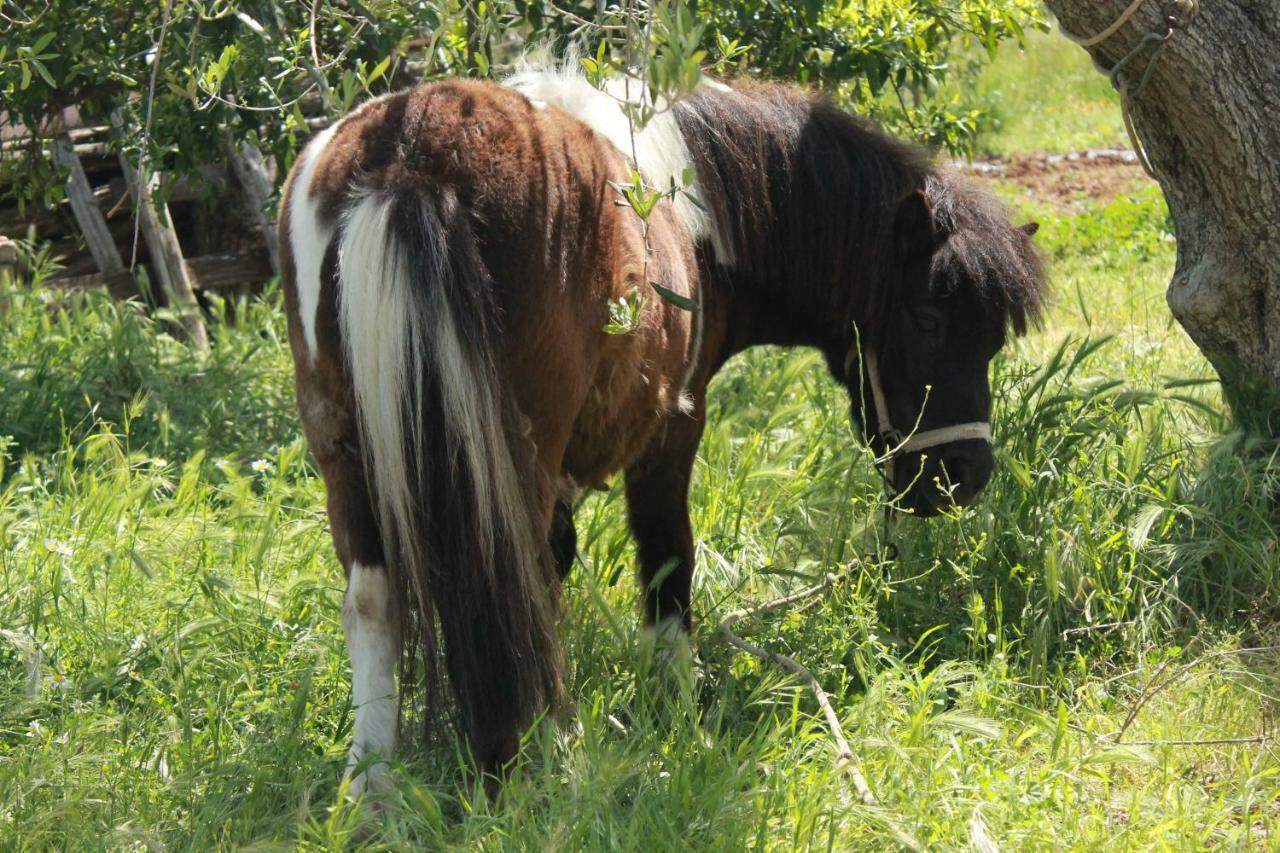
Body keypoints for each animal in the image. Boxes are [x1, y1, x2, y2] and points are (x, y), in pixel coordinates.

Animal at [275, 66, 1044, 788]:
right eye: (930, 320)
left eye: (994, 340)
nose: (965, 475)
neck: (696, 205)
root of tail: (413, 153)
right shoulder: (672, 429)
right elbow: (667, 561)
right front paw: (673, 709)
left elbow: (560, 567)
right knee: (508, 582)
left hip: (345, 451)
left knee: (378, 600)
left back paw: (374, 782)